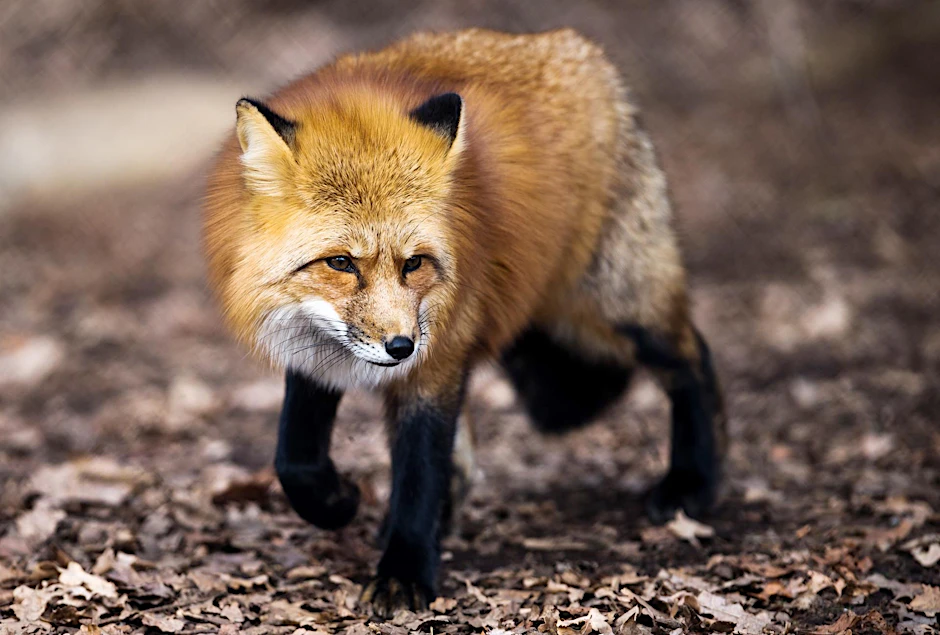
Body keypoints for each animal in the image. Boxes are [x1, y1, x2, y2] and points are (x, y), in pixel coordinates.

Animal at [203, 28, 725, 614]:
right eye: (340, 262)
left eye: (413, 263)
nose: (401, 347)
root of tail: (578, 48)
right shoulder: (315, 344)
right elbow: (295, 458)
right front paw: (338, 502)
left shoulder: (437, 360)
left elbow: (420, 471)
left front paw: (404, 571)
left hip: (614, 309)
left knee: (693, 359)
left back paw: (693, 482)